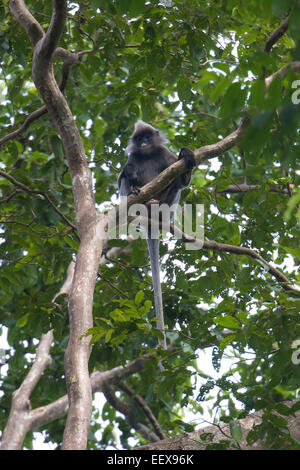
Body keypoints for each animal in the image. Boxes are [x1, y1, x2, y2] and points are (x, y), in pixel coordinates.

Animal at [118, 120, 196, 348]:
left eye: (147, 137)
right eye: (138, 139)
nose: (143, 142)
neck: (148, 154)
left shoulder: (164, 153)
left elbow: (182, 182)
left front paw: (186, 155)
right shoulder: (133, 157)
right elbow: (122, 175)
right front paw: (130, 173)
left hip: (168, 206)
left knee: (177, 184)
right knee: (125, 182)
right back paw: (136, 192)